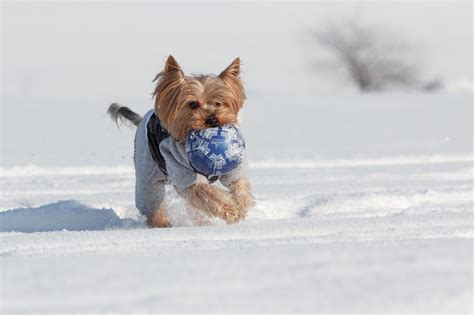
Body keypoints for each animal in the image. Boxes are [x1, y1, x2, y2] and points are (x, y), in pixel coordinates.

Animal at [108, 55, 256, 227]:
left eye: (219, 103)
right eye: (193, 104)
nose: (212, 120)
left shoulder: (231, 167)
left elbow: (238, 183)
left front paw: (241, 206)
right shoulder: (182, 171)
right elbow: (206, 192)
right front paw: (232, 211)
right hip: (147, 169)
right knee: (151, 198)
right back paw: (161, 223)